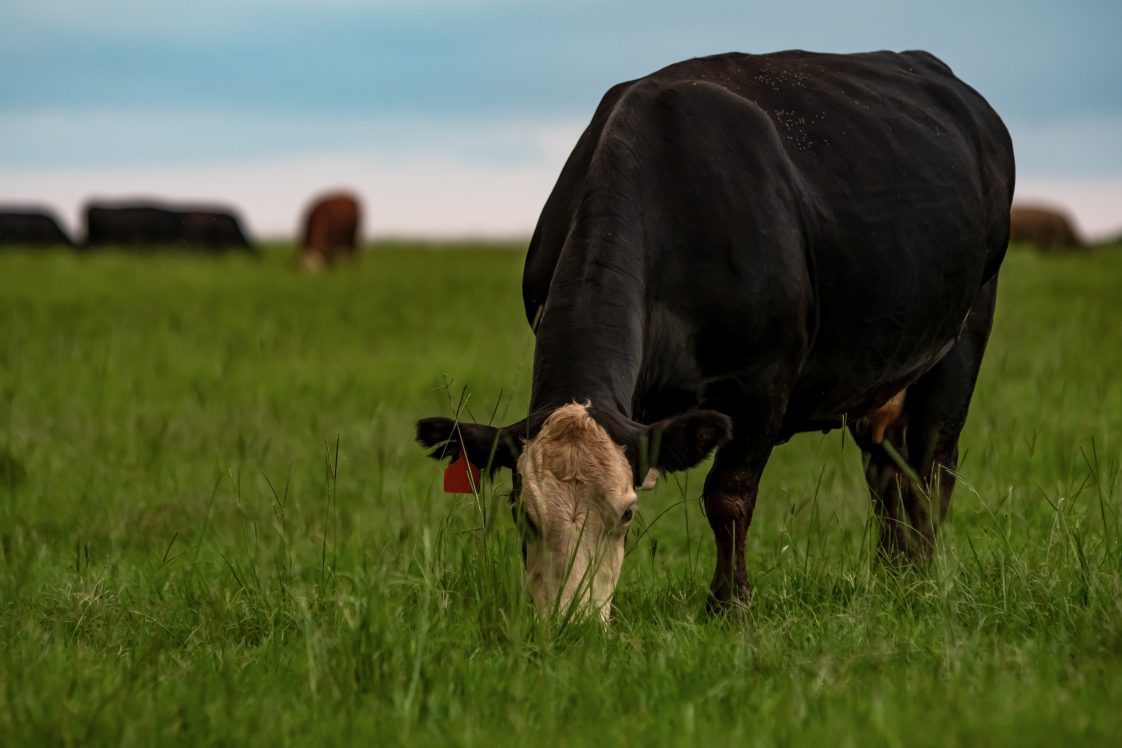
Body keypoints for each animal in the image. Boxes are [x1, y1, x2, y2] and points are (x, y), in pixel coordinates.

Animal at [417, 50, 1015, 621]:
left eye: (627, 513)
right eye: (522, 513)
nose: (571, 622)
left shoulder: (763, 381)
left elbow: (728, 497)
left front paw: (729, 605)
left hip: (965, 334)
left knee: (931, 464)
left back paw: (923, 577)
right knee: (886, 469)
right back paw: (892, 575)